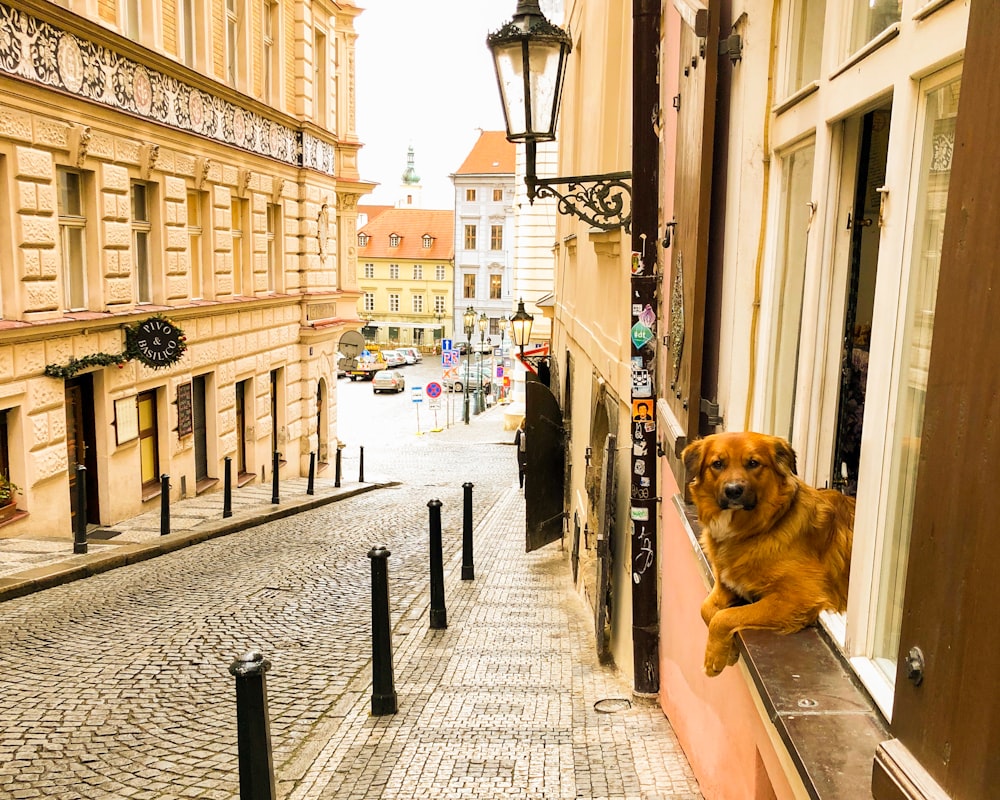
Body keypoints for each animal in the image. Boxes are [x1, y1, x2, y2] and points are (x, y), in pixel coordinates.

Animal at [684, 432, 856, 676]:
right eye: (717, 464)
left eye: (753, 463)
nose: (733, 490)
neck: (762, 528)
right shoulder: (726, 585)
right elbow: (706, 609)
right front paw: (729, 651)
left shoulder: (794, 599)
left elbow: (725, 616)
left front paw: (714, 659)